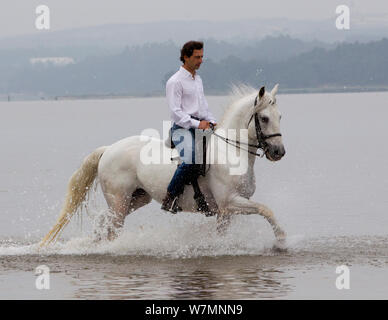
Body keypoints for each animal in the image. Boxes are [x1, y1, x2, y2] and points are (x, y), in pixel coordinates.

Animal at [41, 84, 286, 248]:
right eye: (264, 118)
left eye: (280, 116)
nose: (279, 152)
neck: (231, 152)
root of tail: (109, 149)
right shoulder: (231, 202)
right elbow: (267, 210)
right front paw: (281, 241)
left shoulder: (226, 211)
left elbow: (223, 234)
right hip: (119, 201)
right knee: (113, 229)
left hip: (137, 198)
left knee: (103, 221)